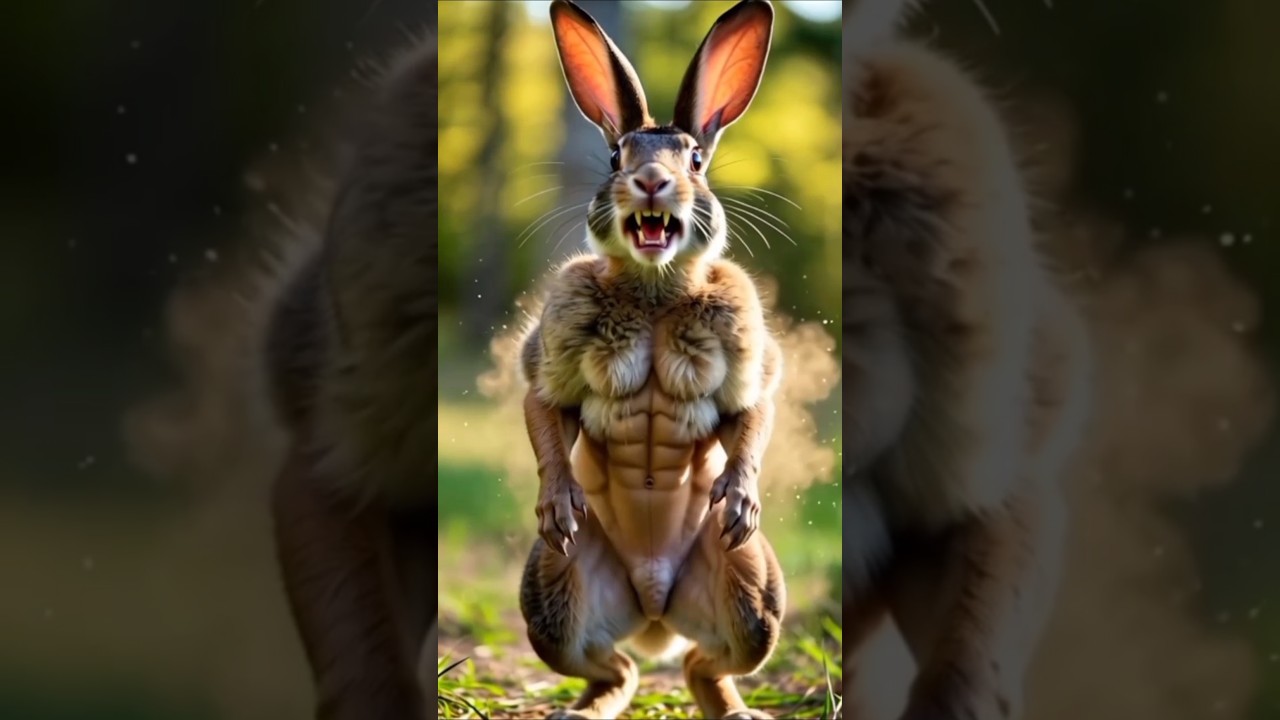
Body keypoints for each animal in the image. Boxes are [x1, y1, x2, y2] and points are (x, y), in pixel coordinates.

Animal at [515, 1, 789, 717]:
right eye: (617, 154)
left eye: (694, 158)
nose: (650, 182)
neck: (655, 295)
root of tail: (655, 608)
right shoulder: (550, 363)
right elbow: (545, 415)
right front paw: (558, 504)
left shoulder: (747, 367)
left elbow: (751, 417)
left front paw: (739, 499)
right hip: (553, 595)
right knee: (617, 669)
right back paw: (577, 711)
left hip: (753, 595)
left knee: (704, 664)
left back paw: (740, 711)